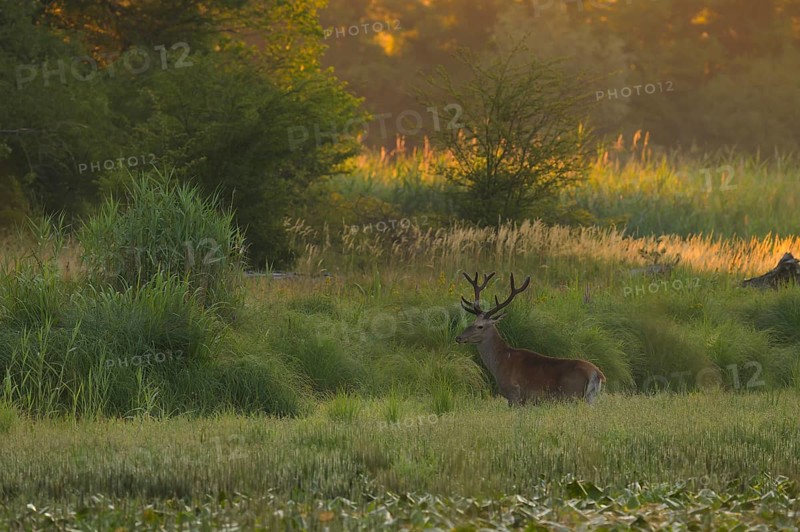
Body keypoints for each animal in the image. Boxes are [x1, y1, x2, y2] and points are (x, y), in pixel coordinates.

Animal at [455, 271, 606, 406]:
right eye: (472, 322)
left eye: (480, 326)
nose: (459, 337)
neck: (501, 361)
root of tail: (597, 374)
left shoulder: (514, 393)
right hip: (590, 398)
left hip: (572, 395)